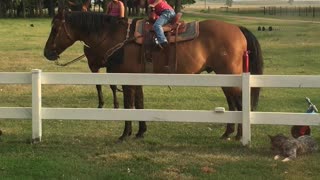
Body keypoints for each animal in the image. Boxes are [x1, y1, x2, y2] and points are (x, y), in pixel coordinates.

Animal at [43, 8, 264, 141]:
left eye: (55, 29)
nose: (47, 53)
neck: (117, 37)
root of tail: (238, 29)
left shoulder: (127, 80)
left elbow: (129, 106)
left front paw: (125, 134)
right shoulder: (136, 80)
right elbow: (140, 104)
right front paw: (141, 132)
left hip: (230, 76)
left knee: (239, 102)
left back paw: (239, 136)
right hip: (225, 78)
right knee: (233, 104)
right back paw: (228, 133)